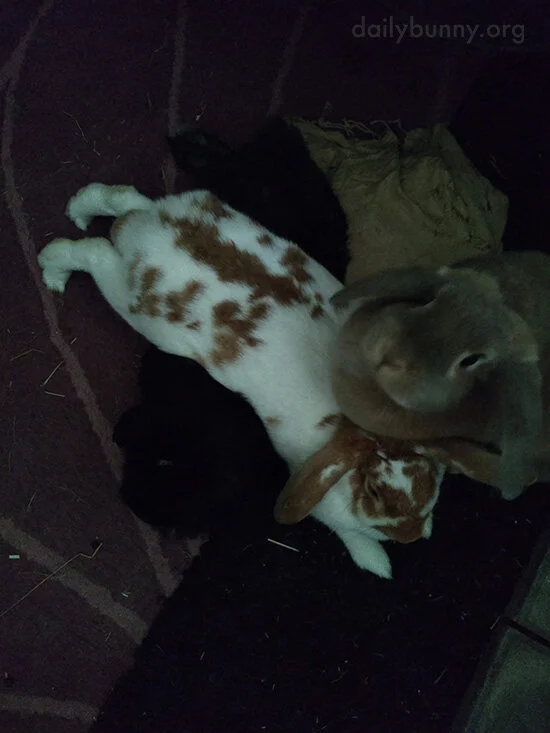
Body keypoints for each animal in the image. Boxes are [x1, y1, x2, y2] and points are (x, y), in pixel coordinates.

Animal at [38, 182, 444, 579]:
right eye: (374, 492)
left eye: (436, 480)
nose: (412, 536)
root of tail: (152, 228)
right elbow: (346, 531)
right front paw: (375, 561)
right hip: (129, 300)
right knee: (92, 252)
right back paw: (52, 272)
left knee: (121, 197)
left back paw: (79, 212)